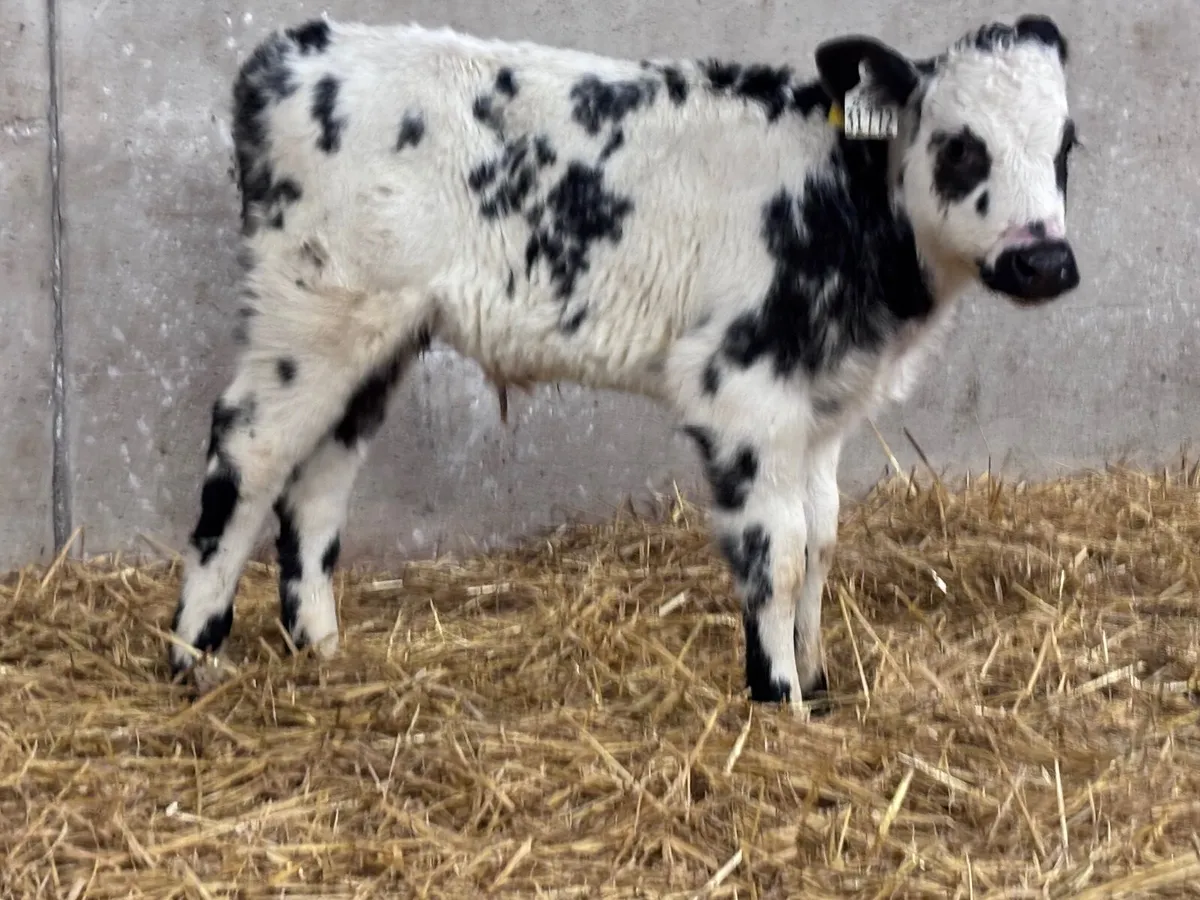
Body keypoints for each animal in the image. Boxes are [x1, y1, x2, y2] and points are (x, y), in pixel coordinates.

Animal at [166, 13, 1082, 708]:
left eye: (1066, 145)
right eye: (961, 146)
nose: (1044, 262)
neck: (837, 204)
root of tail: (297, 49)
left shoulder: (822, 406)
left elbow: (822, 538)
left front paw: (819, 683)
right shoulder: (739, 390)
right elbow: (777, 552)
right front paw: (778, 693)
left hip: (379, 333)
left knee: (320, 477)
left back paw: (320, 649)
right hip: (309, 311)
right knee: (249, 454)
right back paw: (193, 655)